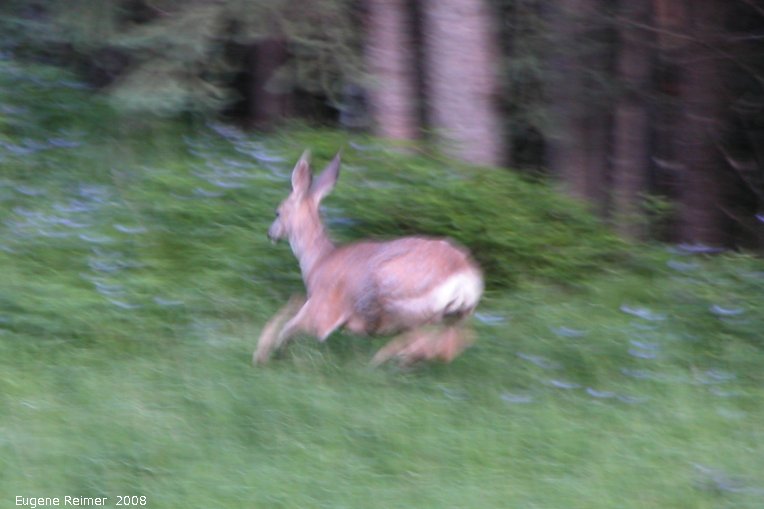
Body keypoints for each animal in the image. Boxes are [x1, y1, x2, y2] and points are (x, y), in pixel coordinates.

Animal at [253, 150, 483, 366]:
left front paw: (268, 354)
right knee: (458, 341)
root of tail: (465, 275)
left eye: (277, 212)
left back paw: (384, 361)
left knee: (429, 344)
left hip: (402, 298)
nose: (270, 234)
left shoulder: (325, 307)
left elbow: (293, 324)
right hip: (458, 314)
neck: (318, 262)